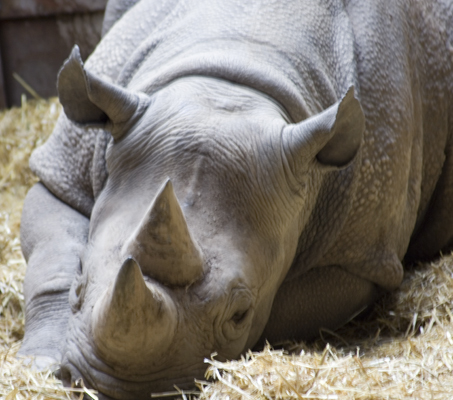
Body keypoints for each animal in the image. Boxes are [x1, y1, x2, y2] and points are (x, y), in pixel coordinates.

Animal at [18, 0, 452, 398]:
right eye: (80, 279)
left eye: (240, 314)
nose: (116, 389)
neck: (238, 69)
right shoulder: (62, 176)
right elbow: (50, 262)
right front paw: (40, 363)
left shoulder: (361, 257)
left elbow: (280, 308)